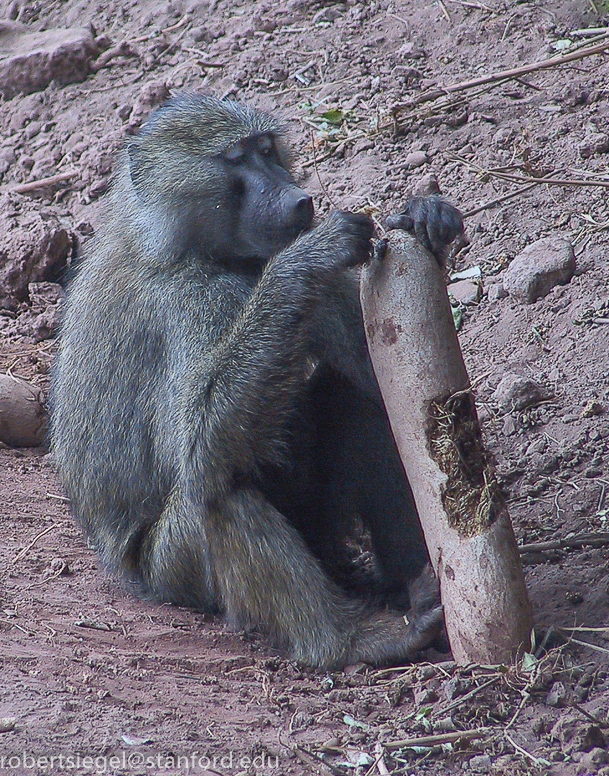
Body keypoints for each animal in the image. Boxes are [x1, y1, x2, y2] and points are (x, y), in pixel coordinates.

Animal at [50, 93, 464, 669]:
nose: (299, 201)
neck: (185, 244)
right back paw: (349, 640)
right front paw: (303, 261)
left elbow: (374, 366)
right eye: (237, 159)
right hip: (173, 572)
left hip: (316, 520)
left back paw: (412, 587)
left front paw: (424, 216)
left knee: (364, 404)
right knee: (216, 489)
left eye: (268, 151)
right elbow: (199, 443)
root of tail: (127, 572)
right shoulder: (188, 299)